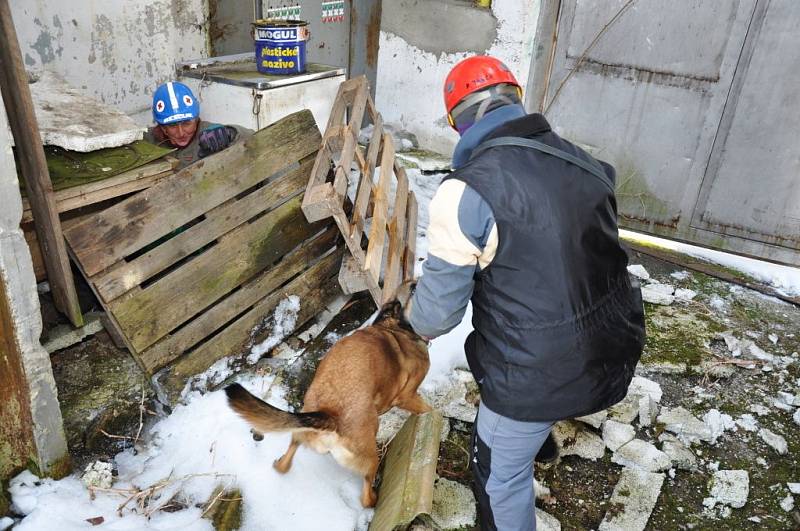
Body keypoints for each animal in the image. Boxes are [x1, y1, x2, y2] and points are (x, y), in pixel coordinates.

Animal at [222, 284, 428, 510]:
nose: (412, 284)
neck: (392, 327)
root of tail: (329, 415)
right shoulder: (408, 396)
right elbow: (427, 409)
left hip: (300, 433)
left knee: (286, 462)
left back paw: (280, 463)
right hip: (370, 455)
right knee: (365, 497)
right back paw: (374, 498)